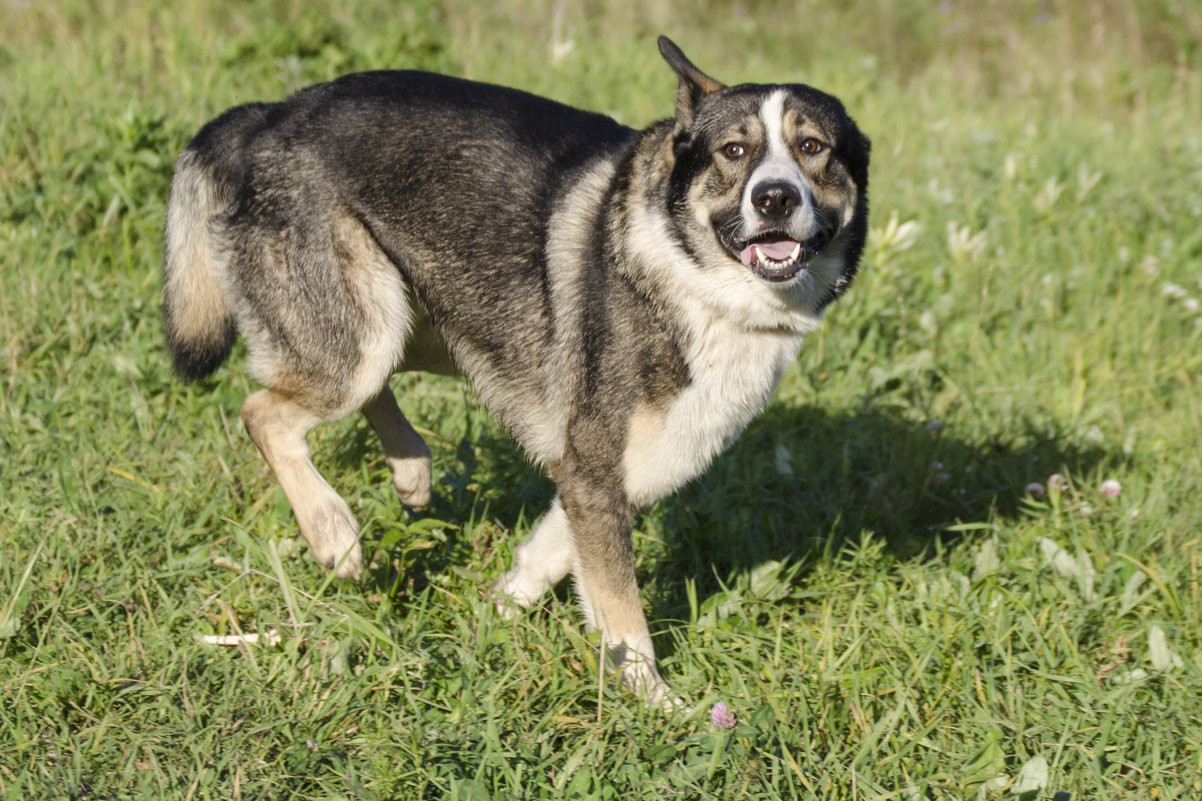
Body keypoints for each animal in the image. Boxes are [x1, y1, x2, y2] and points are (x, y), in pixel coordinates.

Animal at [164, 35, 870, 707]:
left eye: (812, 147)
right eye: (733, 150)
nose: (774, 197)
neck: (698, 280)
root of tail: (269, 115)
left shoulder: (616, 472)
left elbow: (552, 560)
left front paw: (490, 618)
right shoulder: (595, 473)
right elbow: (625, 613)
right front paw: (660, 705)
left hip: (424, 315)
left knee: (367, 385)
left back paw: (411, 469)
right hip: (364, 331)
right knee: (266, 411)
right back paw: (333, 532)